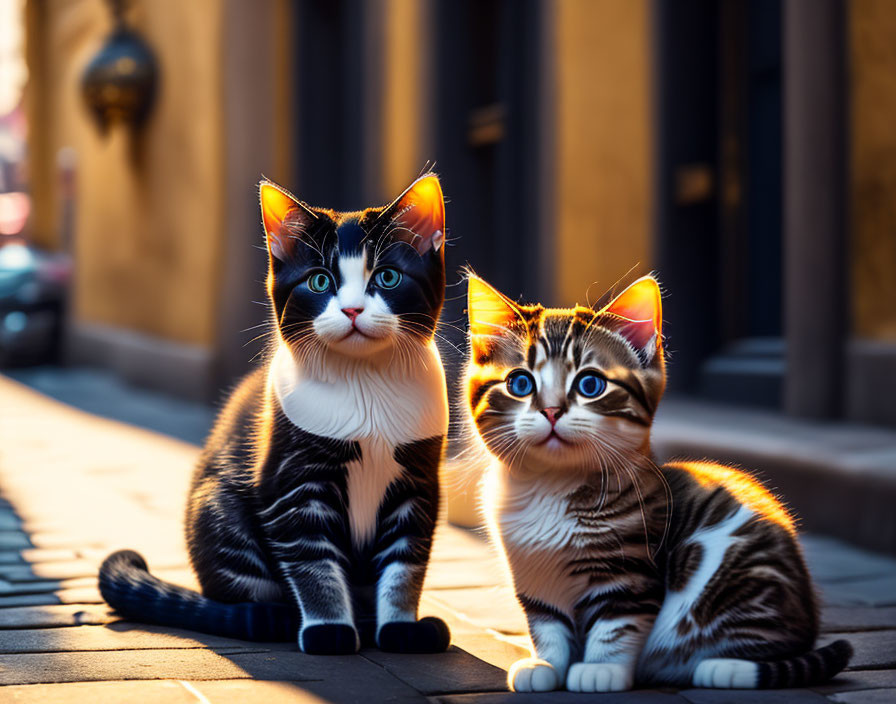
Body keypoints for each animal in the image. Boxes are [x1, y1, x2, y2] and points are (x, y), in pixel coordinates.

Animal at [99, 175, 456, 656]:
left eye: (388, 276)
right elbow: (312, 562)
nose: (352, 310)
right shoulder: (292, 483)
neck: (364, 385)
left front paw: (400, 627)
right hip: (216, 506)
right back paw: (277, 618)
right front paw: (328, 629)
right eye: (320, 281)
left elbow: (405, 561)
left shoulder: (418, 484)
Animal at [466, 276, 852, 692]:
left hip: (745, 581)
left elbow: (618, 624)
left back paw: (721, 667)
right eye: (520, 383)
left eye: (590, 384)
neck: (550, 487)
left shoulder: (632, 569)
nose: (551, 411)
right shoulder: (533, 577)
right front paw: (547, 664)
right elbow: (546, 625)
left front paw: (601, 669)